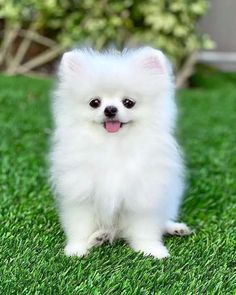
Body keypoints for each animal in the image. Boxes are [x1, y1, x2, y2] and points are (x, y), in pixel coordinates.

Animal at [50, 46, 192, 260]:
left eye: (128, 102)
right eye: (94, 102)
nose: (110, 109)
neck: (113, 145)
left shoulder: (143, 193)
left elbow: (145, 228)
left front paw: (151, 250)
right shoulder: (82, 193)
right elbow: (81, 225)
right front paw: (77, 249)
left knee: (163, 218)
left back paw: (175, 228)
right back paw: (100, 237)